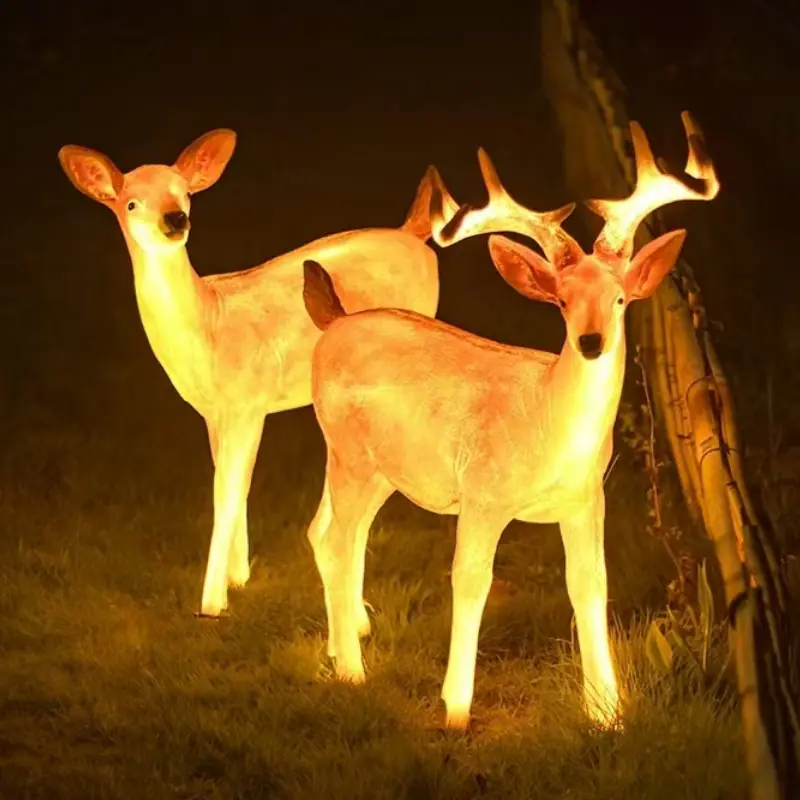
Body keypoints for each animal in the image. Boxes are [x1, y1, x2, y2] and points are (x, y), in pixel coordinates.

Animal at [58, 129, 461, 618]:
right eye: (131, 203)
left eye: (185, 193)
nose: (175, 219)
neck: (209, 327)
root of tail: (412, 234)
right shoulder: (216, 411)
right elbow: (234, 482)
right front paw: (238, 578)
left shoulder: (248, 400)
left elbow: (226, 492)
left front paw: (211, 603)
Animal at [301, 112, 718, 730]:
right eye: (562, 302)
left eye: (620, 299)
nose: (591, 342)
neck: (545, 425)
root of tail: (334, 322)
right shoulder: (482, 493)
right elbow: (471, 581)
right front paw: (455, 708)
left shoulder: (586, 498)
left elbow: (590, 585)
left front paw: (606, 710)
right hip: (347, 451)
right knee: (337, 538)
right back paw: (353, 671)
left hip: (382, 469)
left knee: (330, 532)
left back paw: (343, 641)